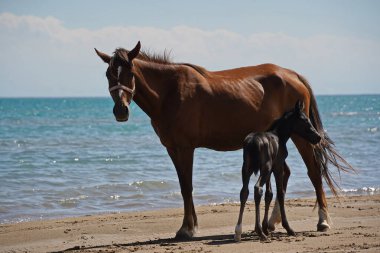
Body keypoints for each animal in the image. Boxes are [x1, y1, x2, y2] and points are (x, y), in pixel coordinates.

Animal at [235, 100, 320, 241]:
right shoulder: (278, 166)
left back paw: (238, 231)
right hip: (265, 167)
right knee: (257, 188)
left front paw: (266, 227)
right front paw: (288, 228)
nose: (318, 137)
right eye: (305, 120)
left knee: (244, 191)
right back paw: (260, 232)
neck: (280, 135)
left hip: (246, 168)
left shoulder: (270, 170)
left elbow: (269, 194)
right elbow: (280, 193)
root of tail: (252, 143)